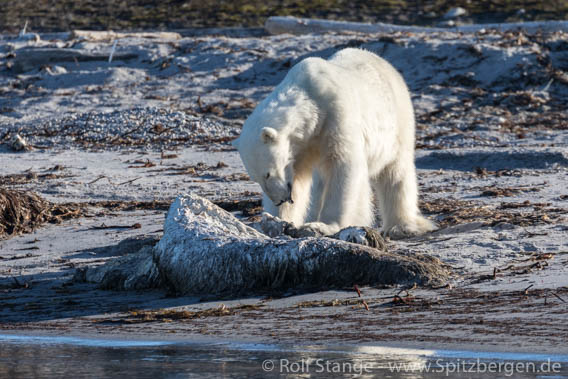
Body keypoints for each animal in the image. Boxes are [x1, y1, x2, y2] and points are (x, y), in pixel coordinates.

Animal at [233, 46, 438, 238]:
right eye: (256, 178)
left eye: (267, 173)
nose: (279, 199)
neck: (311, 102)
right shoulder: (301, 149)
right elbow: (298, 179)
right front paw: (275, 221)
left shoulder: (336, 116)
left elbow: (343, 165)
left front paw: (323, 226)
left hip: (396, 122)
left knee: (395, 171)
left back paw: (401, 226)